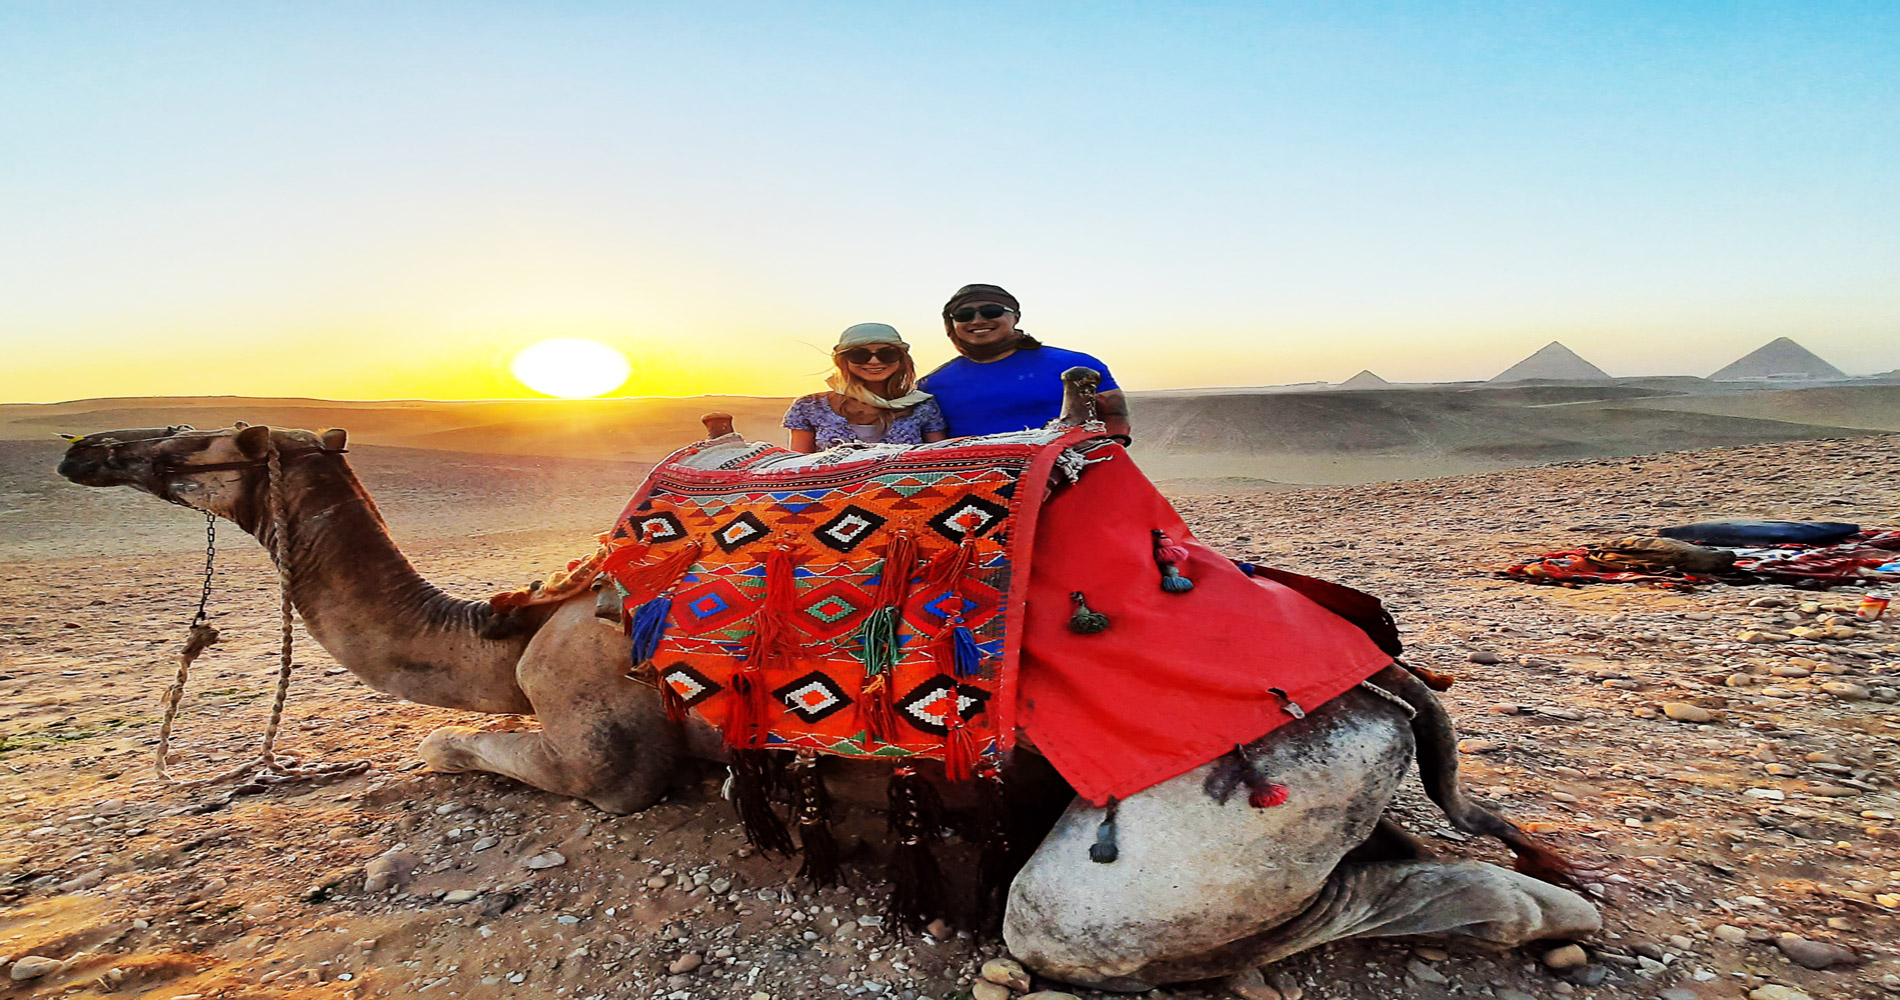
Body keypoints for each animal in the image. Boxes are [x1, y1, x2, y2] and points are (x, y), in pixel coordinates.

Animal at [59, 418, 1596, 996]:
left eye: (201, 440)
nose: (83, 447)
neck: (512, 625)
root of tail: (1382, 689)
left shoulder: (606, 753)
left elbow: (454, 740)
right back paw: (1550, 913)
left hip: (1161, 846)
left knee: (1112, 931)